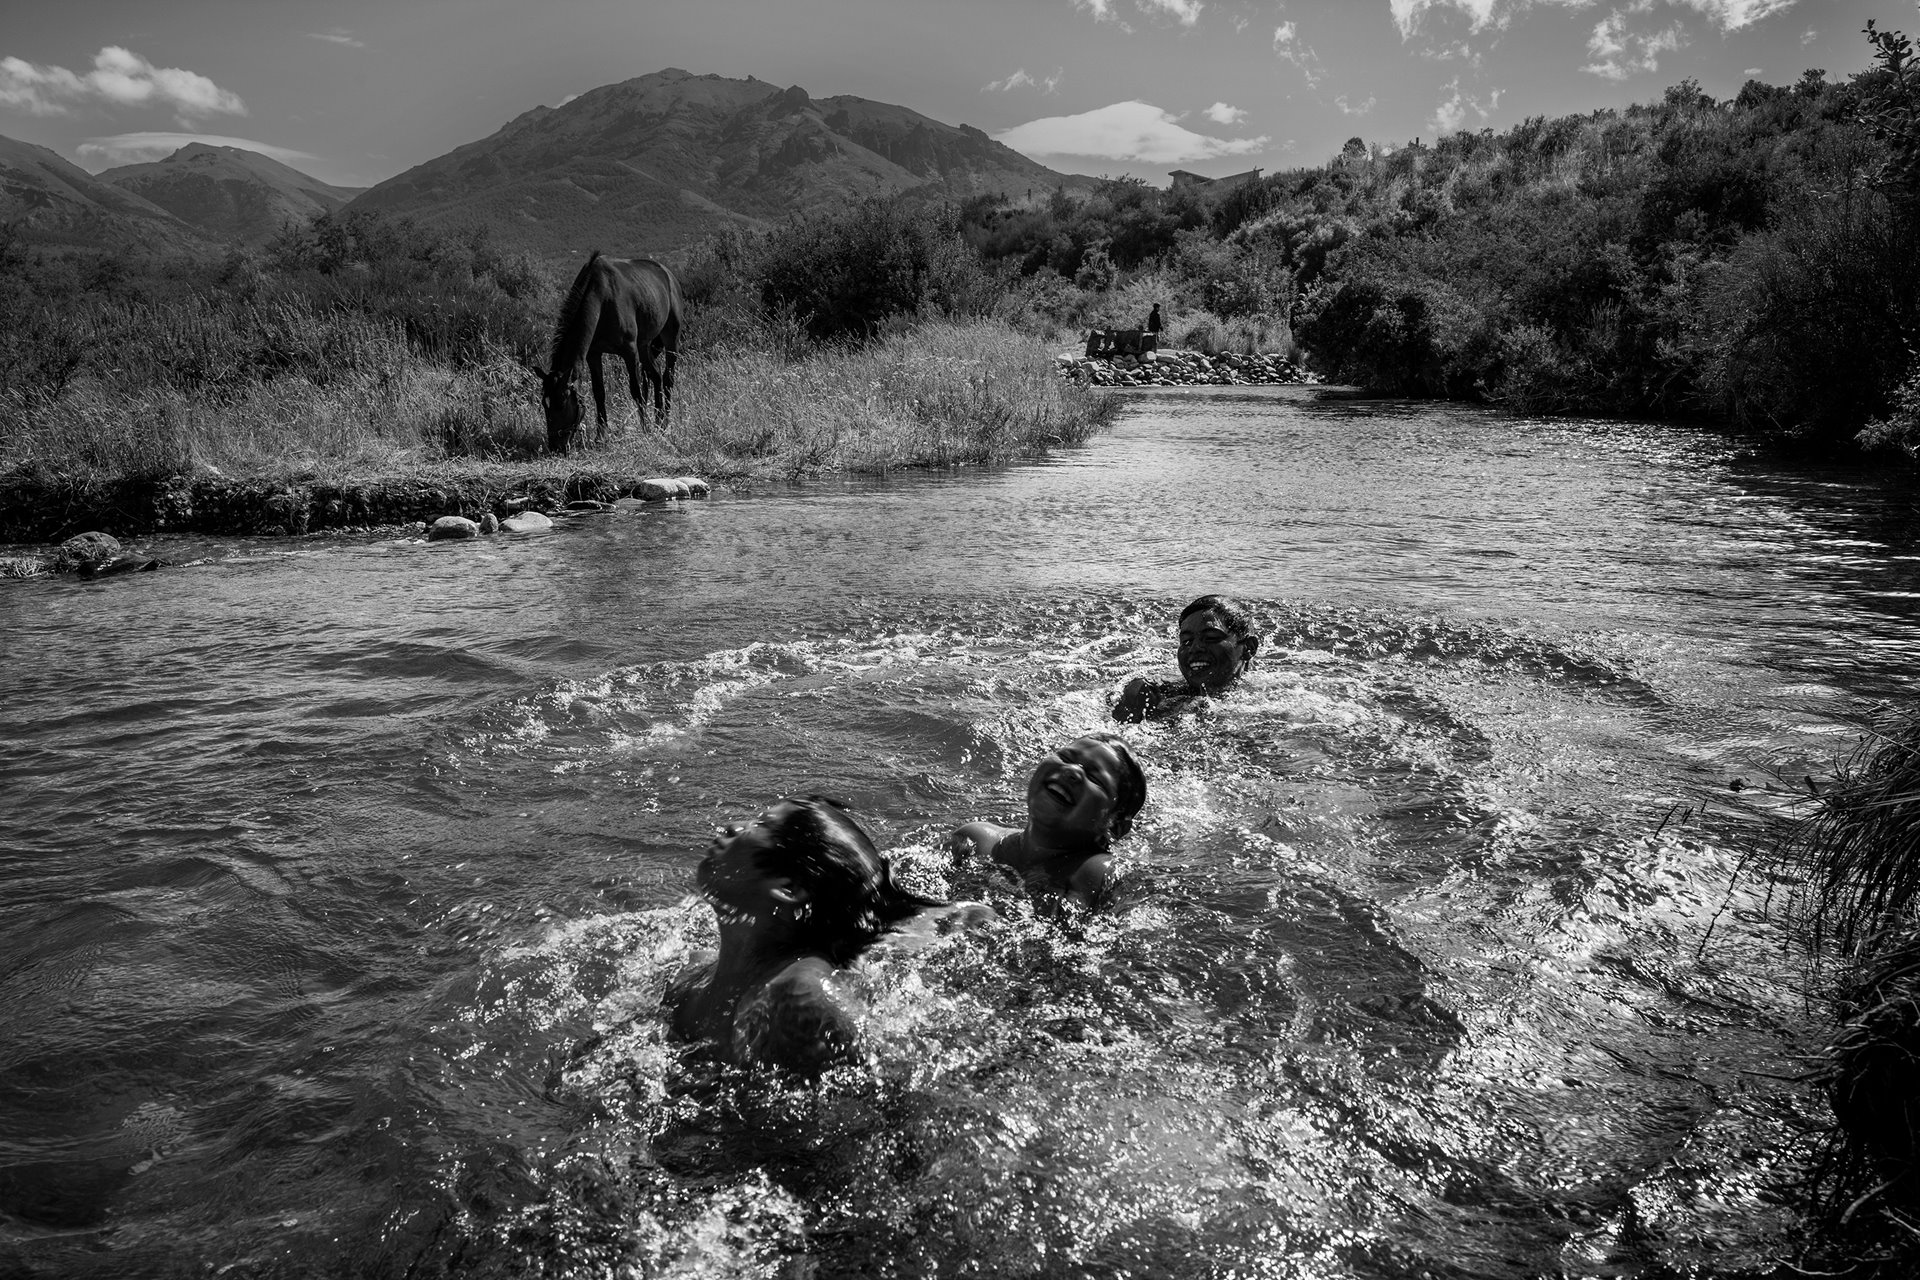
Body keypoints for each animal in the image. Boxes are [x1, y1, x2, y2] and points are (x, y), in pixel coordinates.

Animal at [529, 251, 687, 454]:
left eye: (562, 402)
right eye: (544, 403)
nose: (556, 447)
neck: (602, 299)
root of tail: (669, 276)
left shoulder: (629, 351)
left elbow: (636, 391)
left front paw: (645, 430)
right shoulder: (593, 354)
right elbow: (599, 392)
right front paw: (600, 436)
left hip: (670, 338)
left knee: (668, 377)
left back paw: (664, 423)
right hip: (645, 345)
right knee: (656, 375)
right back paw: (658, 423)